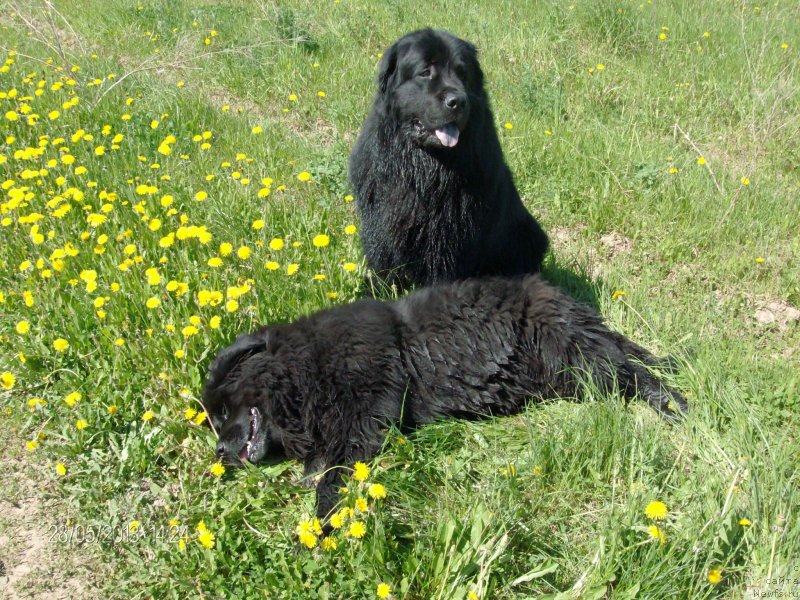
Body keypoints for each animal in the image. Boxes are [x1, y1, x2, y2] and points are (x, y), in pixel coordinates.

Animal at [203, 276, 684, 520]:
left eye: (223, 411)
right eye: (213, 418)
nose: (220, 452)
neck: (306, 368)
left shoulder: (369, 412)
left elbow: (334, 474)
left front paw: (323, 521)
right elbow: (320, 464)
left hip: (571, 353)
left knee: (635, 374)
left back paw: (676, 406)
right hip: (567, 371)